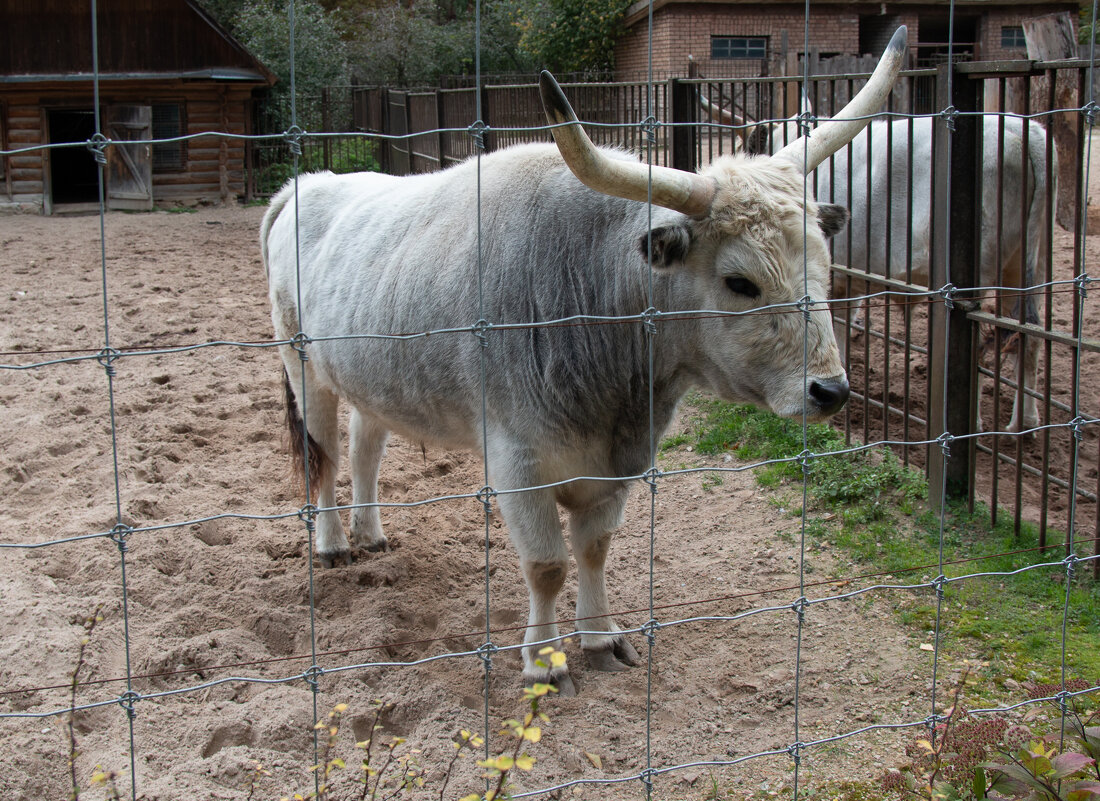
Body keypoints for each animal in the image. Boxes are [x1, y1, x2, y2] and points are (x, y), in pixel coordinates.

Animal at [261, 26, 906, 686]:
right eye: (739, 281)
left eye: (824, 264)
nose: (831, 390)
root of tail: (304, 186)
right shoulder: (517, 461)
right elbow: (547, 565)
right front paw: (543, 663)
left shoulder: (617, 465)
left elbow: (594, 548)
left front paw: (599, 637)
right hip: (301, 366)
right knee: (323, 456)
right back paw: (334, 543)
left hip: (372, 378)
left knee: (364, 448)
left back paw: (371, 533)